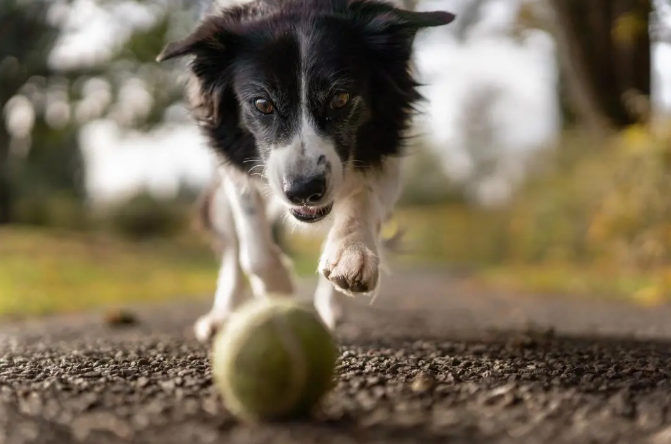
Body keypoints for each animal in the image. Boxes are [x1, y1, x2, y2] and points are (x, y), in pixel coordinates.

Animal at [159, 0, 456, 344]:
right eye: (262, 104)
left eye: (340, 98)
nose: (303, 191)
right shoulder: (234, 164)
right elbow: (254, 250)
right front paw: (280, 291)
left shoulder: (388, 143)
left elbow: (362, 199)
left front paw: (351, 253)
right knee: (232, 252)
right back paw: (221, 317)